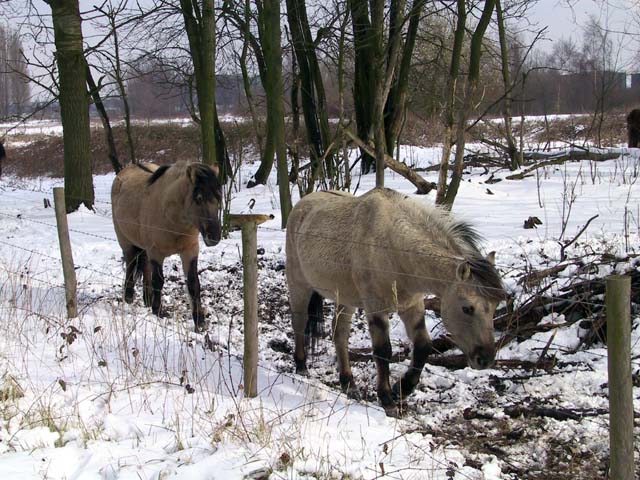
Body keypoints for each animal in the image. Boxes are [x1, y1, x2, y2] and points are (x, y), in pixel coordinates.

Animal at [109, 161, 221, 330]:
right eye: (199, 198)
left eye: (219, 197)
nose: (214, 237)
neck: (172, 217)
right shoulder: (156, 253)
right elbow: (158, 281)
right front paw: (158, 311)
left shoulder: (190, 251)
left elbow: (193, 284)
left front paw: (199, 322)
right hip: (126, 243)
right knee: (131, 265)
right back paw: (129, 298)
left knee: (145, 268)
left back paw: (147, 300)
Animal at [288, 188, 508, 416]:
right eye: (467, 308)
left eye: (494, 307)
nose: (486, 358)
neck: (394, 247)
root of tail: (303, 204)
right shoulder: (375, 307)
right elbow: (383, 352)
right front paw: (387, 399)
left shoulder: (412, 306)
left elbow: (423, 346)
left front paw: (402, 388)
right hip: (299, 285)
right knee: (299, 323)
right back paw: (301, 366)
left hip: (345, 298)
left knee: (339, 334)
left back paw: (349, 384)